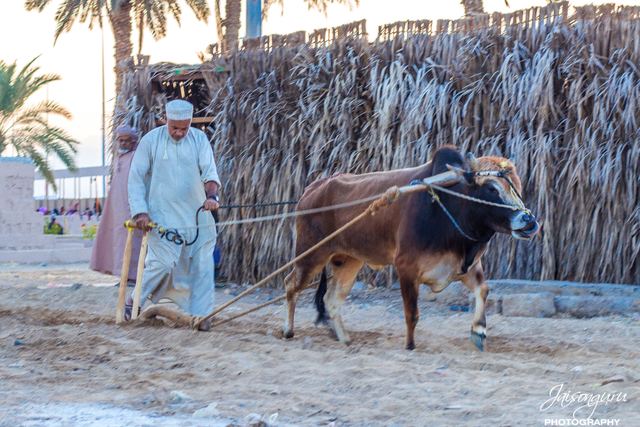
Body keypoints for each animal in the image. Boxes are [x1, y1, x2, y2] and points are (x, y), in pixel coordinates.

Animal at [282, 146, 539, 351]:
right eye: (492, 188)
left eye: (517, 186)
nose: (529, 221)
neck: (447, 206)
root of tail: (312, 189)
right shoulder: (406, 268)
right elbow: (412, 313)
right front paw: (410, 345)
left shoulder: (467, 266)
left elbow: (483, 290)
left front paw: (478, 331)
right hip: (310, 256)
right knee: (291, 284)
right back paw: (288, 331)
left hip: (348, 261)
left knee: (332, 299)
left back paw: (344, 339)